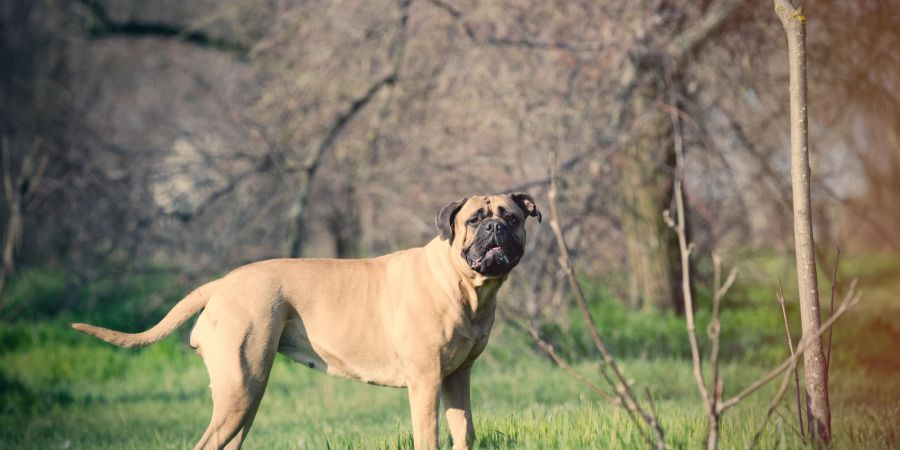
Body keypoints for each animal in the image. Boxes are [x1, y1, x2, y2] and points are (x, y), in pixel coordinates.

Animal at [74, 192, 536, 450]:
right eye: (474, 220)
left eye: (511, 218)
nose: (495, 228)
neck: (463, 285)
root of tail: (220, 285)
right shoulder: (425, 381)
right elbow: (429, 438)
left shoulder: (457, 377)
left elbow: (464, 432)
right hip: (241, 389)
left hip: (244, 398)